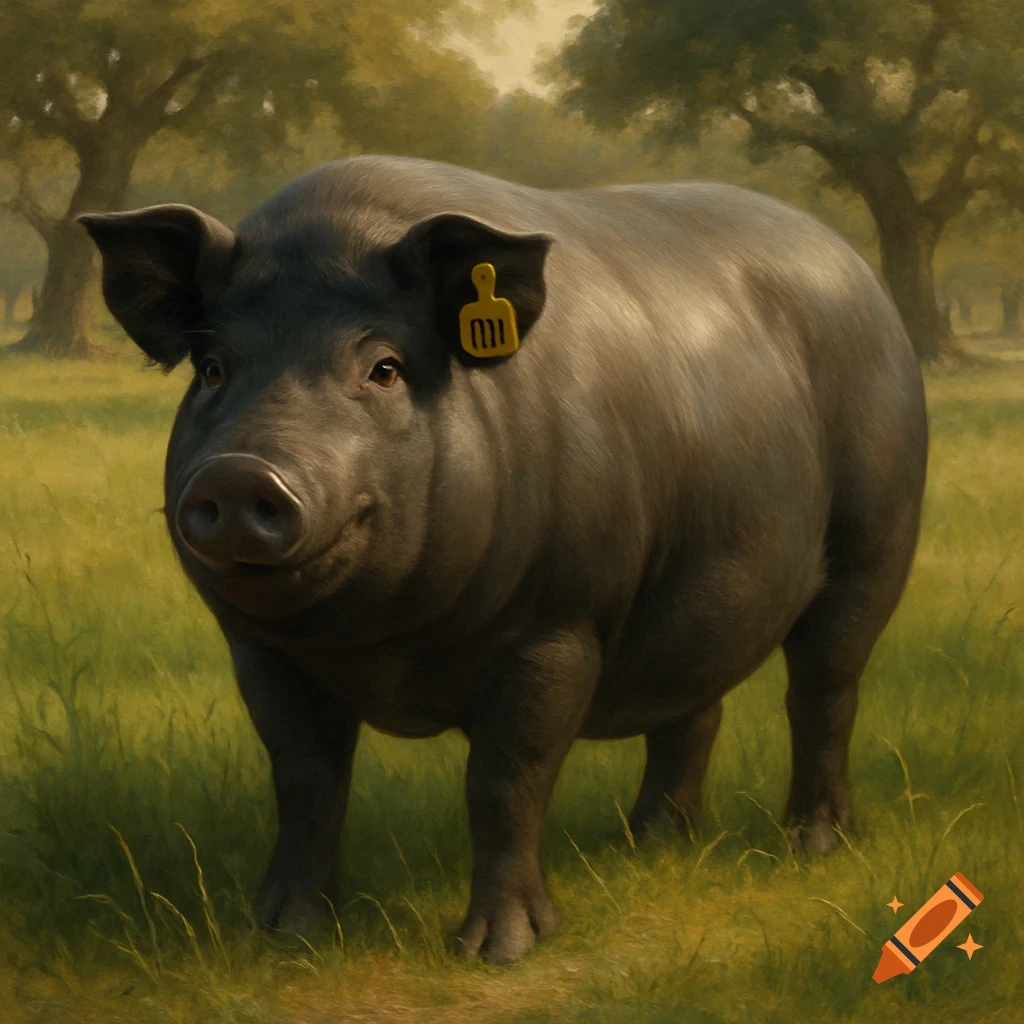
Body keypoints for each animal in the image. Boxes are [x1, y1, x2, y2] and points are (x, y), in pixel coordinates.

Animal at [79, 155, 928, 964]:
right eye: (214, 369)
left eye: (383, 367)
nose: (240, 473)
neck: (384, 649)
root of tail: (860, 275)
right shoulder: (260, 651)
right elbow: (304, 776)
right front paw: (282, 935)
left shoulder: (559, 625)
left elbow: (505, 778)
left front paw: (499, 950)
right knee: (695, 703)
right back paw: (650, 843)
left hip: (877, 538)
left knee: (823, 686)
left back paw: (812, 844)